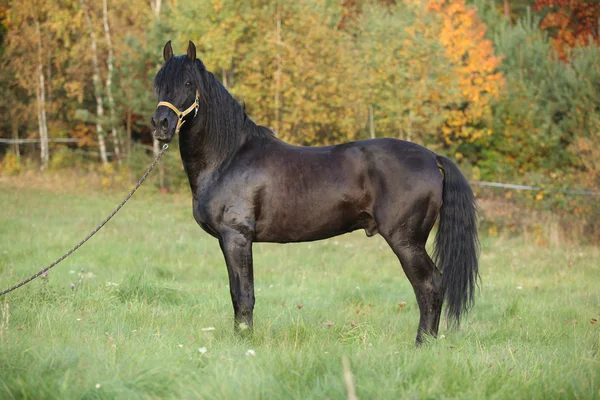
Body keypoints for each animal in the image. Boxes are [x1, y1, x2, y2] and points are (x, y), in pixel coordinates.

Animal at [150, 41, 478, 346]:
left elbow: (243, 295)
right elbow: (236, 293)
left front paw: (244, 342)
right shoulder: (228, 240)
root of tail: (432, 157)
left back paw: (422, 344)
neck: (228, 158)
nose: (161, 124)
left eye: (188, 83)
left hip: (406, 241)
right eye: (158, 82)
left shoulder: (237, 237)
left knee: (430, 285)